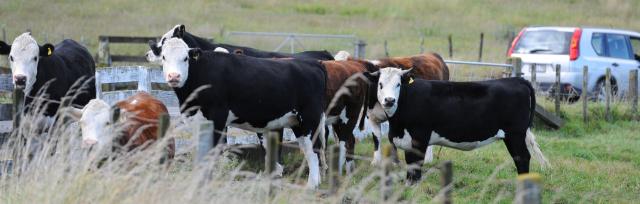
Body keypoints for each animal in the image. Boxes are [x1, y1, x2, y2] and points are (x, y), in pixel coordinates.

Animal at [159, 37, 328, 188]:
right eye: (164, 57)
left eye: (185, 58)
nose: (174, 76)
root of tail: (313, 64)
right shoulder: (197, 122)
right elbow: (201, 153)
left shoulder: (218, 118)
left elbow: (212, 152)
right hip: (296, 122)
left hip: (309, 120)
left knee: (313, 152)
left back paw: (312, 186)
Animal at [360, 68, 552, 183]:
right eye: (380, 84)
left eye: (398, 84)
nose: (389, 100)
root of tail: (517, 80)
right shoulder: (408, 141)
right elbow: (410, 164)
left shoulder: (419, 138)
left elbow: (417, 165)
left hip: (515, 134)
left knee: (522, 157)